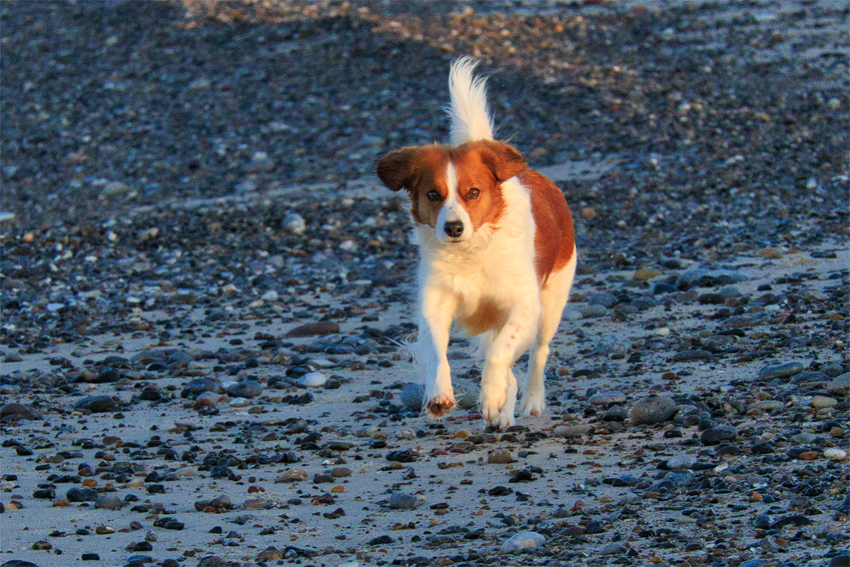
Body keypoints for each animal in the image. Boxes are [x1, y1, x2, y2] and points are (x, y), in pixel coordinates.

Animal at [378, 58, 576, 430]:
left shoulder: (523, 308)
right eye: (433, 194)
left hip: (553, 300)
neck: (470, 254)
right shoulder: (436, 303)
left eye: (473, 192)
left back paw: (530, 402)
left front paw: (492, 395)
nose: (454, 227)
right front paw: (440, 395)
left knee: (538, 354)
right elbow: (438, 352)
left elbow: (500, 353)